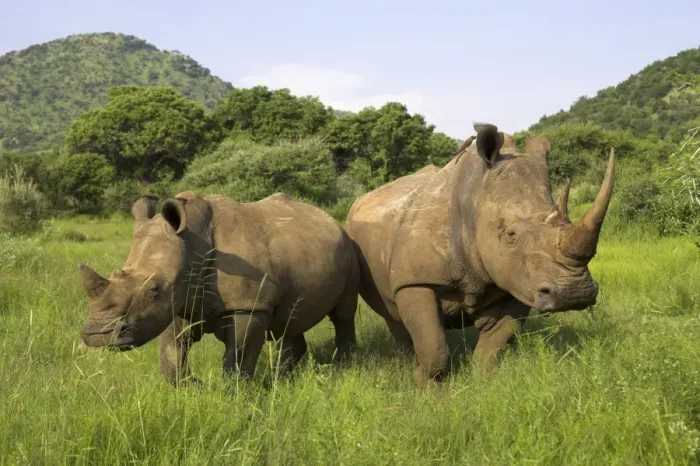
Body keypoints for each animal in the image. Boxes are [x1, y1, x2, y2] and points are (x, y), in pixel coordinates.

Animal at [77, 191, 359, 386]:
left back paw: (343, 366)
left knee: (343, 313)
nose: (97, 335)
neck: (192, 243)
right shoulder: (179, 301)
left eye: (154, 289)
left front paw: (234, 392)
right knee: (287, 321)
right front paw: (194, 386)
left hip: (349, 248)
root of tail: (331, 220)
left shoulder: (247, 305)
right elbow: (171, 353)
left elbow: (239, 355)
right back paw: (281, 377)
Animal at [345, 123, 615, 386]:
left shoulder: (518, 281)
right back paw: (406, 359)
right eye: (510, 234)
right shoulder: (415, 280)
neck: (474, 203)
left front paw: (482, 382)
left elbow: (493, 345)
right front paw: (425, 384)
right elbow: (433, 346)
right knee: (391, 311)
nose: (574, 294)